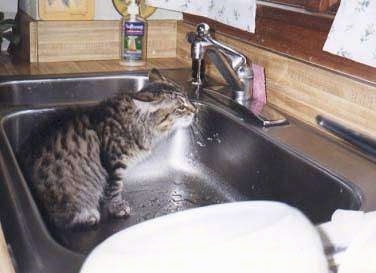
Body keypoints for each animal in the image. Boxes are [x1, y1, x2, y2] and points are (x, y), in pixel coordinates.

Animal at [19, 68, 197, 227]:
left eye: (188, 98)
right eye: (180, 107)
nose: (195, 110)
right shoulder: (114, 163)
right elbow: (115, 189)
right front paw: (117, 208)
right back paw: (88, 215)